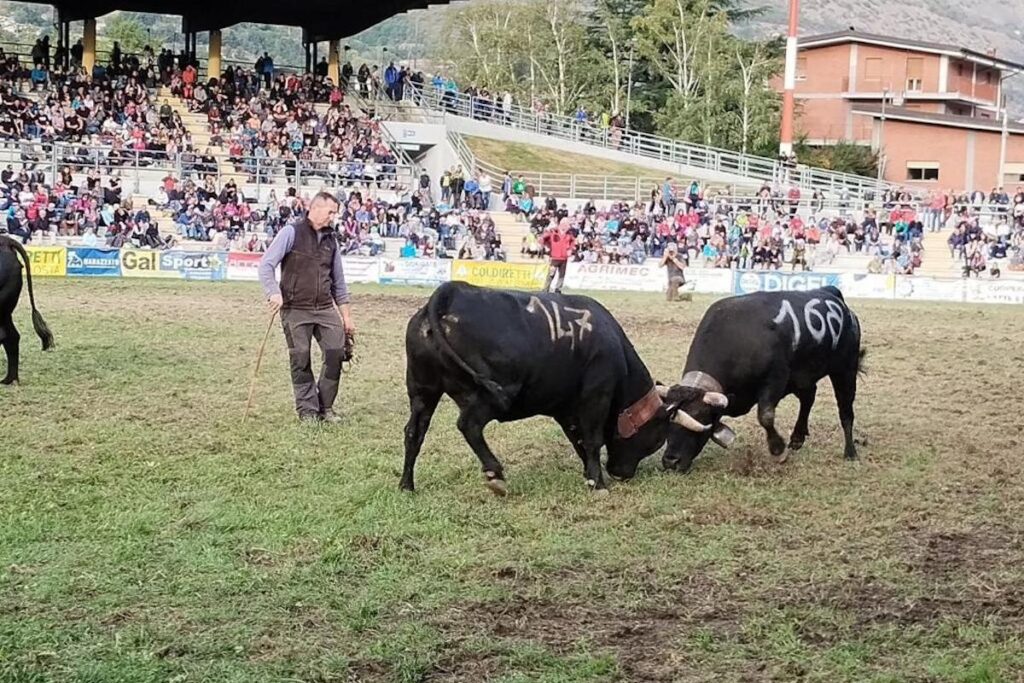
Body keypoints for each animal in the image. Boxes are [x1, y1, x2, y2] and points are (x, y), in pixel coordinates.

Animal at [395, 280, 692, 493]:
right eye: (657, 438)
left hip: (423, 389)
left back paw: (407, 485)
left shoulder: (566, 408)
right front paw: (598, 483)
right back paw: (495, 473)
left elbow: (578, 439)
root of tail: (450, 293)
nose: (622, 474)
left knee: (414, 432)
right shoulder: (596, 395)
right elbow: (592, 439)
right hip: (493, 395)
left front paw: (589, 474)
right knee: (468, 425)